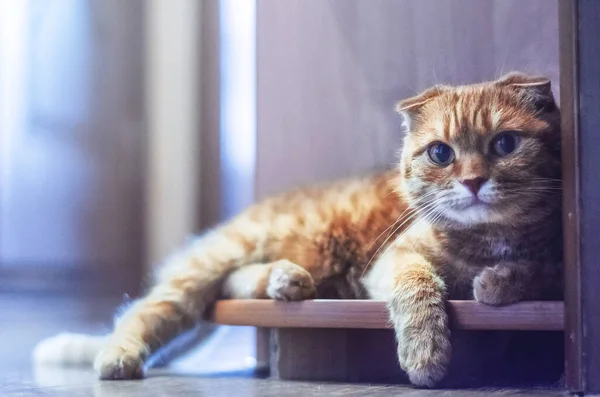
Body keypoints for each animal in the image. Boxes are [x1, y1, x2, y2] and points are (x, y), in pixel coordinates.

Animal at [34, 72, 564, 386]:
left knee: (233, 283)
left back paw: (285, 281)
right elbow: (419, 290)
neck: (485, 239)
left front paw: (499, 281)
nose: (473, 182)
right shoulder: (393, 261)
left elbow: (541, 270)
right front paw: (426, 355)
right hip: (225, 255)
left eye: (505, 144)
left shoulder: (557, 263)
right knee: (151, 309)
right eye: (440, 153)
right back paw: (118, 355)